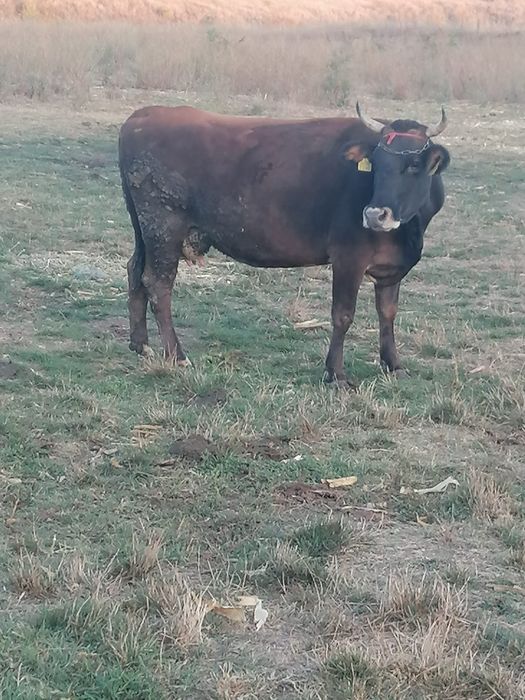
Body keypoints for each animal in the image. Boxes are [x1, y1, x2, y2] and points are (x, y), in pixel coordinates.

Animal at [118, 103, 450, 387]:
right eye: (377, 164)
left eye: (414, 164)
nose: (374, 214)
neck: (408, 233)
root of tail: (143, 115)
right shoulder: (348, 259)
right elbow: (342, 315)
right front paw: (336, 374)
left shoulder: (391, 268)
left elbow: (388, 313)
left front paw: (393, 364)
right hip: (163, 229)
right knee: (158, 284)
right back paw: (177, 355)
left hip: (144, 230)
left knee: (135, 271)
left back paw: (141, 344)